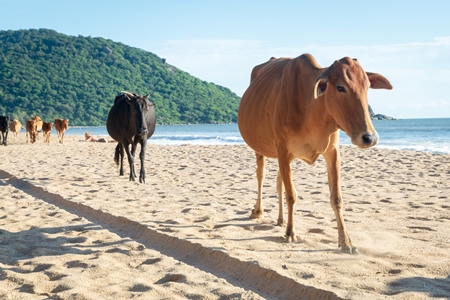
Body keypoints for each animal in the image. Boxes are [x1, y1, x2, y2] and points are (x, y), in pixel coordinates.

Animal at [237, 54, 392, 253]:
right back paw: (258, 211)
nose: (369, 137)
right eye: (340, 87)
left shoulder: (332, 152)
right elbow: (291, 195)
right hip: (260, 149)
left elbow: (336, 198)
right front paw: (290, 233)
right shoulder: (283, 150)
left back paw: (281, 220)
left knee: (279, 182)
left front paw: (346, 242)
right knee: (261, 175)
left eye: (366, 86)